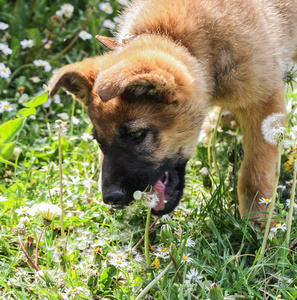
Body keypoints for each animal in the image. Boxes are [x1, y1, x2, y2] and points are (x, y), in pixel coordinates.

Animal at [49, 0, 296, 220]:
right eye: (99, 141)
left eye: (137, 134)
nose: (111, 199)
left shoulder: (264, 103)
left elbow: (255, 172)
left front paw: (257, 223)